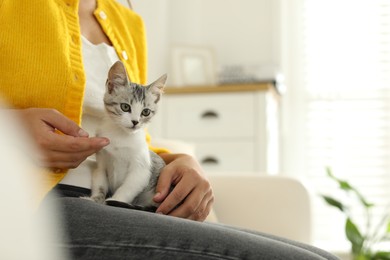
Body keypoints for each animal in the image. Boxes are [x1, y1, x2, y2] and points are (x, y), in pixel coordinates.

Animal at [89, 61, 167, 211]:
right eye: (125, 107)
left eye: (146, 112)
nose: (135, 122)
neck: (120, 135)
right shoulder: (101, 163)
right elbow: (100, 184)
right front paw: (94, 199)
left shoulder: (141, 169)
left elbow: (128, 188)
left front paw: (115, 200)